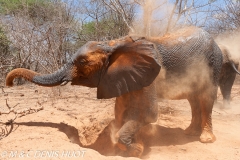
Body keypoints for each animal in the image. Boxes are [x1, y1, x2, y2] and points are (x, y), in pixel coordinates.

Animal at [6, 26, 223, 158]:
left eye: (82, 62)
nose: (9, 84)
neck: (113, 44)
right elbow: (120, 111)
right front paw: (126, 147)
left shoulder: (151, 73)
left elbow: (148, 113)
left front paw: (137, 150)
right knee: (193, 100)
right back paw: (190, 132)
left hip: (213, 65)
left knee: (205, 98)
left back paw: (205, 139)